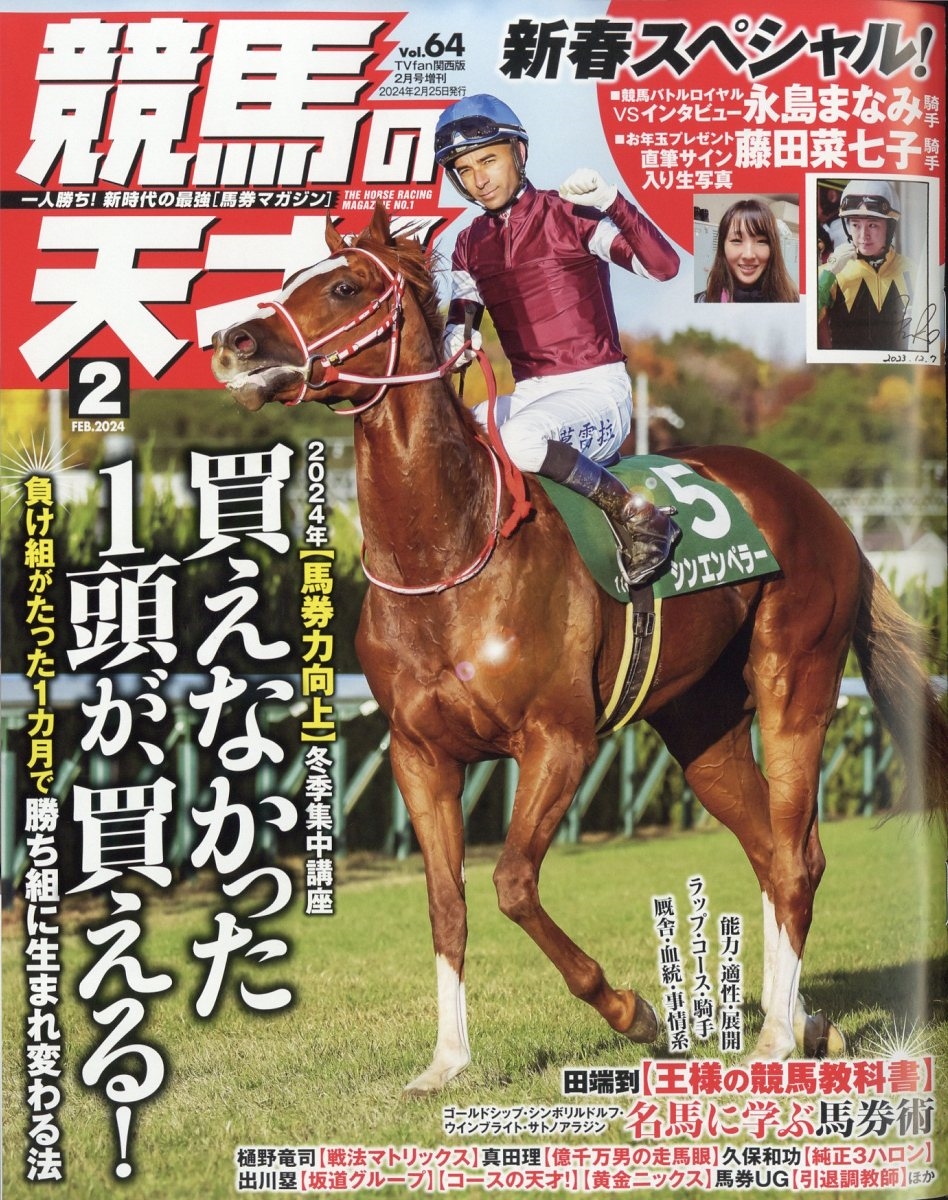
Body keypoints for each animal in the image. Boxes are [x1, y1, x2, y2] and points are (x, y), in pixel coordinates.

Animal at [211, 203, 947, 1095]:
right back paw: (801, 1021)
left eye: (346, 286)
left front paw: (636, 1012)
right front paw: (446, 1062)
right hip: (702, 728)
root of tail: (822, 506)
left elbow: (512, 884)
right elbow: (447, 902)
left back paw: (773, 1038)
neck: (448, 554)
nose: (237, 341)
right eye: (289, 280)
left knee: (797, 860)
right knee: (775, 853)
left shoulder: (556, 741)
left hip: (794, 684)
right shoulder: (419, 755)